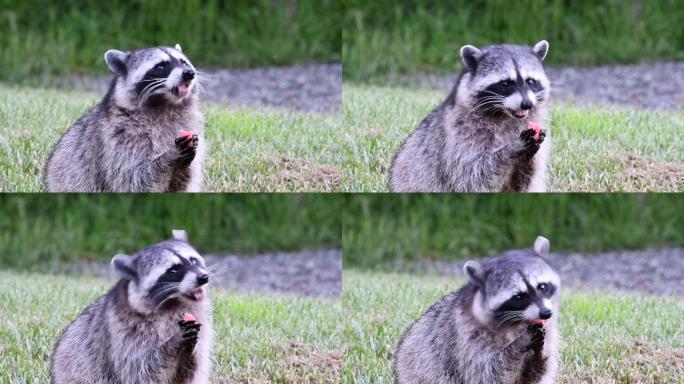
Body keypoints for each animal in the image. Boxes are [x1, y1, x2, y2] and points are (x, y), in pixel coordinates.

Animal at [45, 44, 204, 192]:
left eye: (183, 62)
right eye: (161, 66)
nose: (189, 73)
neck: (165, 105)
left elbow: (180, 185)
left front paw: (185, 163)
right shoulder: (119, 137)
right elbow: (132, 178)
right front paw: (169, 156)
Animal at [50, 230, 212, 382]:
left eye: (194, 261)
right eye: (173, 269)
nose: (203, 277)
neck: (173, 303)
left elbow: (189, 372)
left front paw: (191, 350)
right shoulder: (126, 331)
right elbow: (142, 368)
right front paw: (174, 341)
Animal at [390, 41, 552, 194]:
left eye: (530, 81)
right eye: (505, 83)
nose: (527, 104)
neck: (505, 115)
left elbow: (521, 183)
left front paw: (529, 157)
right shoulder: (460, 134)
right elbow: (472, 174)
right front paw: (509, 149)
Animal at [392, 236, 560, 382]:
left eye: (542, 287)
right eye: (518, 297)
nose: (546, 313)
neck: (518, 321)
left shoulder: (548, 330)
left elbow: (533, 375)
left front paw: (541, 354)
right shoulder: (467, 337)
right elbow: (488, 373)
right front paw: (518, 344)